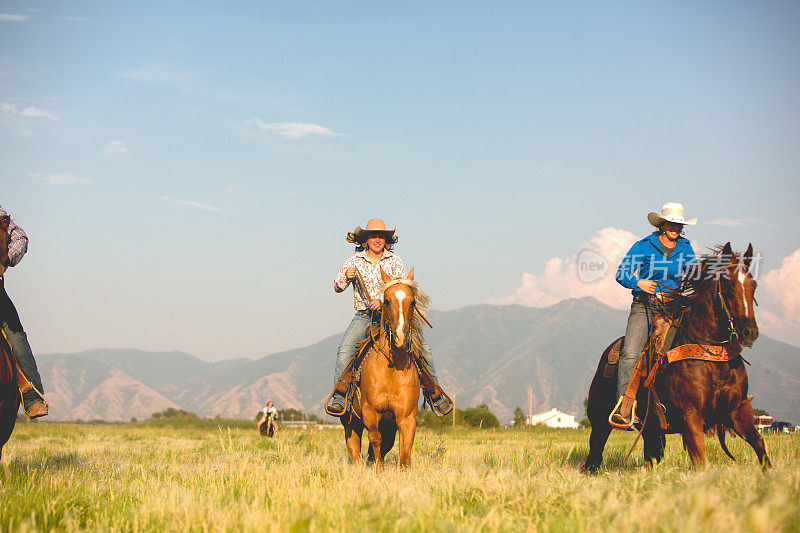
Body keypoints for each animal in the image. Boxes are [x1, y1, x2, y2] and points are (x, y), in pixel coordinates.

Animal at [340, 268, 428, 468]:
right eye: (386, 301)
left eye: (413, 301)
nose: (400, 336)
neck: (392, 371)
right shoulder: (370, 411)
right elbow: (375, 439)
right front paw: (378, 470)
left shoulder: (406, 417)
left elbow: (405, 451)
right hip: (350, 421)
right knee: (354, 447)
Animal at [584, 241, 772, 470]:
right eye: (728, 286)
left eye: (754, 285)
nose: (749, 332)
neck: (711, 357)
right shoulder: (691, 416)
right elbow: (700, 459)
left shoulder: (739, 409)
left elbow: (759, 444)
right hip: (600, 421)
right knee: (594, 453)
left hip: (651, 429)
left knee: (650, 455)